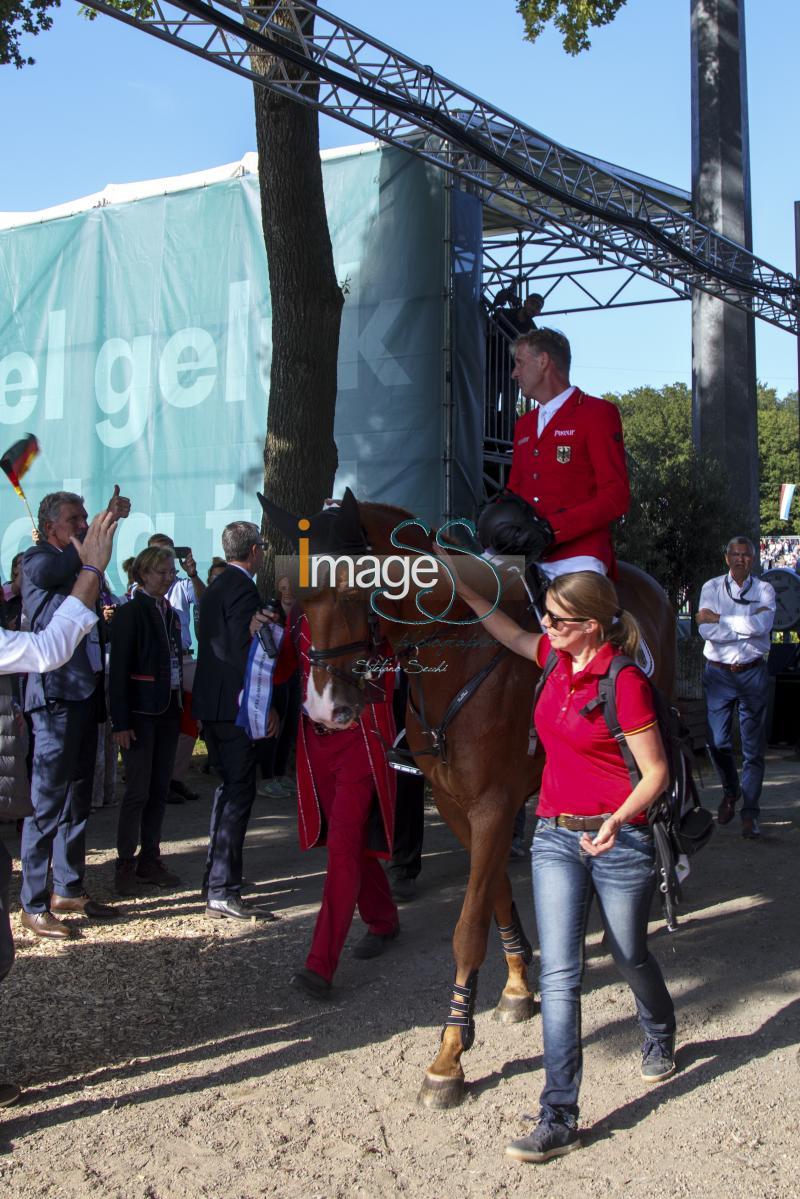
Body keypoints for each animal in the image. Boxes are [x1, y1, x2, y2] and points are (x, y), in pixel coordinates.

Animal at [261, 491, 676, 1107]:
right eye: (302, 600)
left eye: (357, 592)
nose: (322, 710)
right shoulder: (463, 807)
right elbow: (495, 897)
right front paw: (518, 987)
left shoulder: (492, 806)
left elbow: (466, 929)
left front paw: (449, 1057)